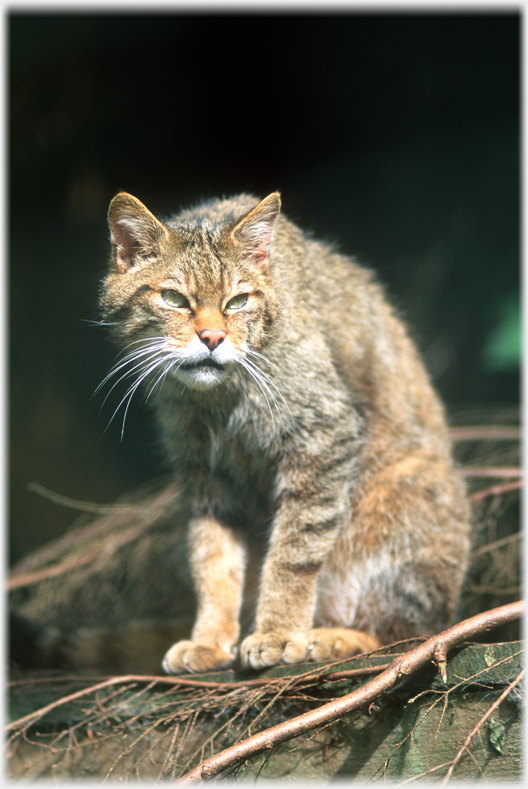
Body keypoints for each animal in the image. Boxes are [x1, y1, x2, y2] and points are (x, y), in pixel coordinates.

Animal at [94, 189, 470, 672]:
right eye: (175, 298)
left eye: (238, 301)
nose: (212, 338)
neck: (217, 399)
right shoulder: (203, 470)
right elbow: (212, 559)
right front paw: (210, 638)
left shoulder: (322, 436)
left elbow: (293, 552)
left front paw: (277, 631)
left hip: (408, 488)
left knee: (406, 632)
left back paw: (330, 636)